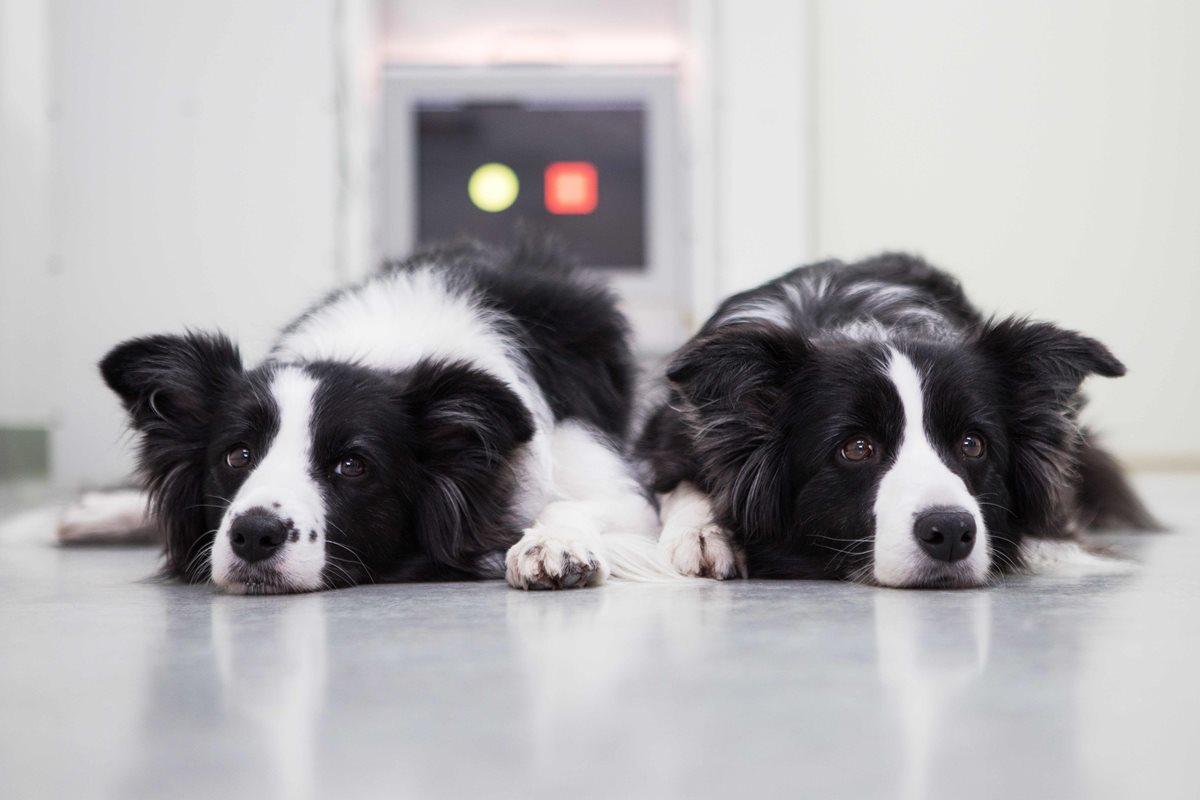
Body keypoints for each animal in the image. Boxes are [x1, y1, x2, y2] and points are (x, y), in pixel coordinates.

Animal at [63, 247, 1152, 592]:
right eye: (235, 456)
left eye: (352, 464)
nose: (252, 532)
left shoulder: (605, 471)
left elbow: (589, 507)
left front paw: (552, 547)